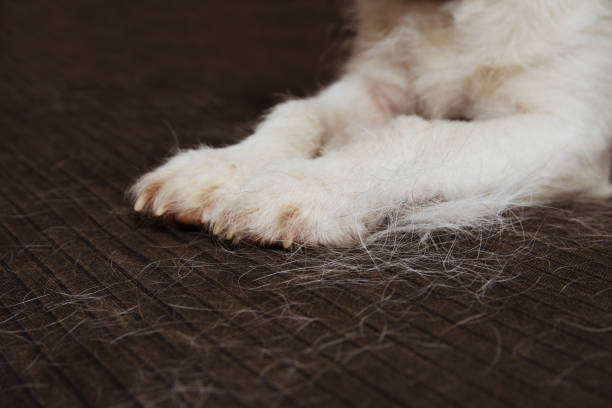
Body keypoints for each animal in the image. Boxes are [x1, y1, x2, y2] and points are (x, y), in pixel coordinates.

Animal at [129, 0, 612, 247]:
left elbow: (420, 134)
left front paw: (304, 188)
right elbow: (299, 112)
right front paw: (218, 170)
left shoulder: (569, 128)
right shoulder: (376, 85)